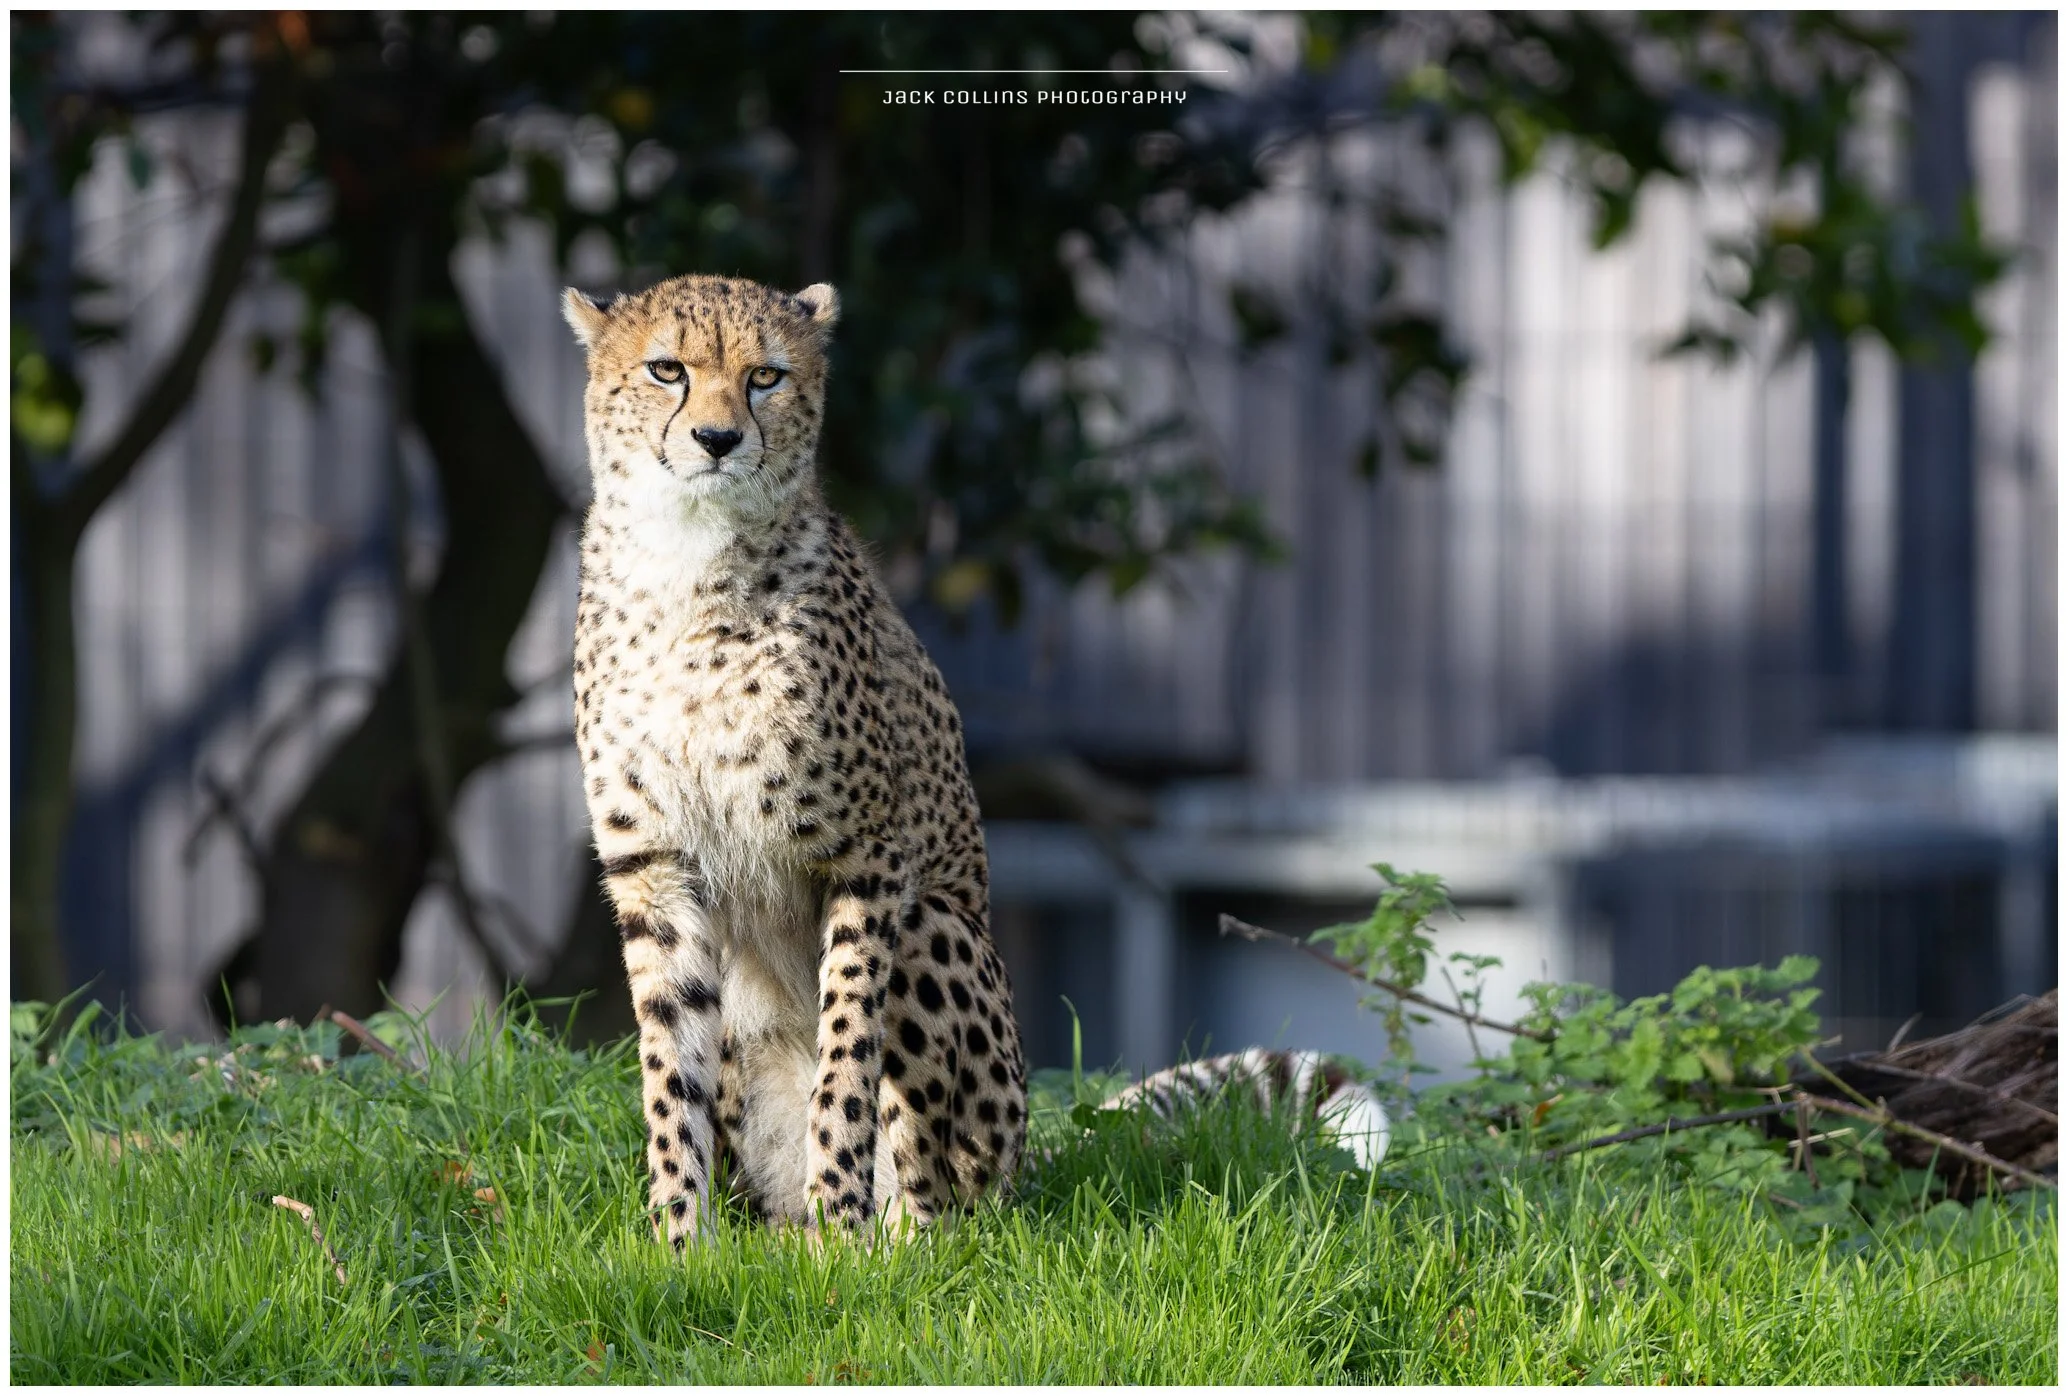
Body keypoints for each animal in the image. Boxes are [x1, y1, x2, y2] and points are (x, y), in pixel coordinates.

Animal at [562, 272, 1027, 1250]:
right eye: (667, 370)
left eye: (766, 376)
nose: (718, 438)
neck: (688, 561)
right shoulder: (653, 866)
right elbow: (669, 1069)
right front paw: (678, 1238)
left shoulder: (868, 859)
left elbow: (846, 1057)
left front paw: (838, 1230)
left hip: (936, 935)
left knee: (939, 1200)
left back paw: (892, 1239)